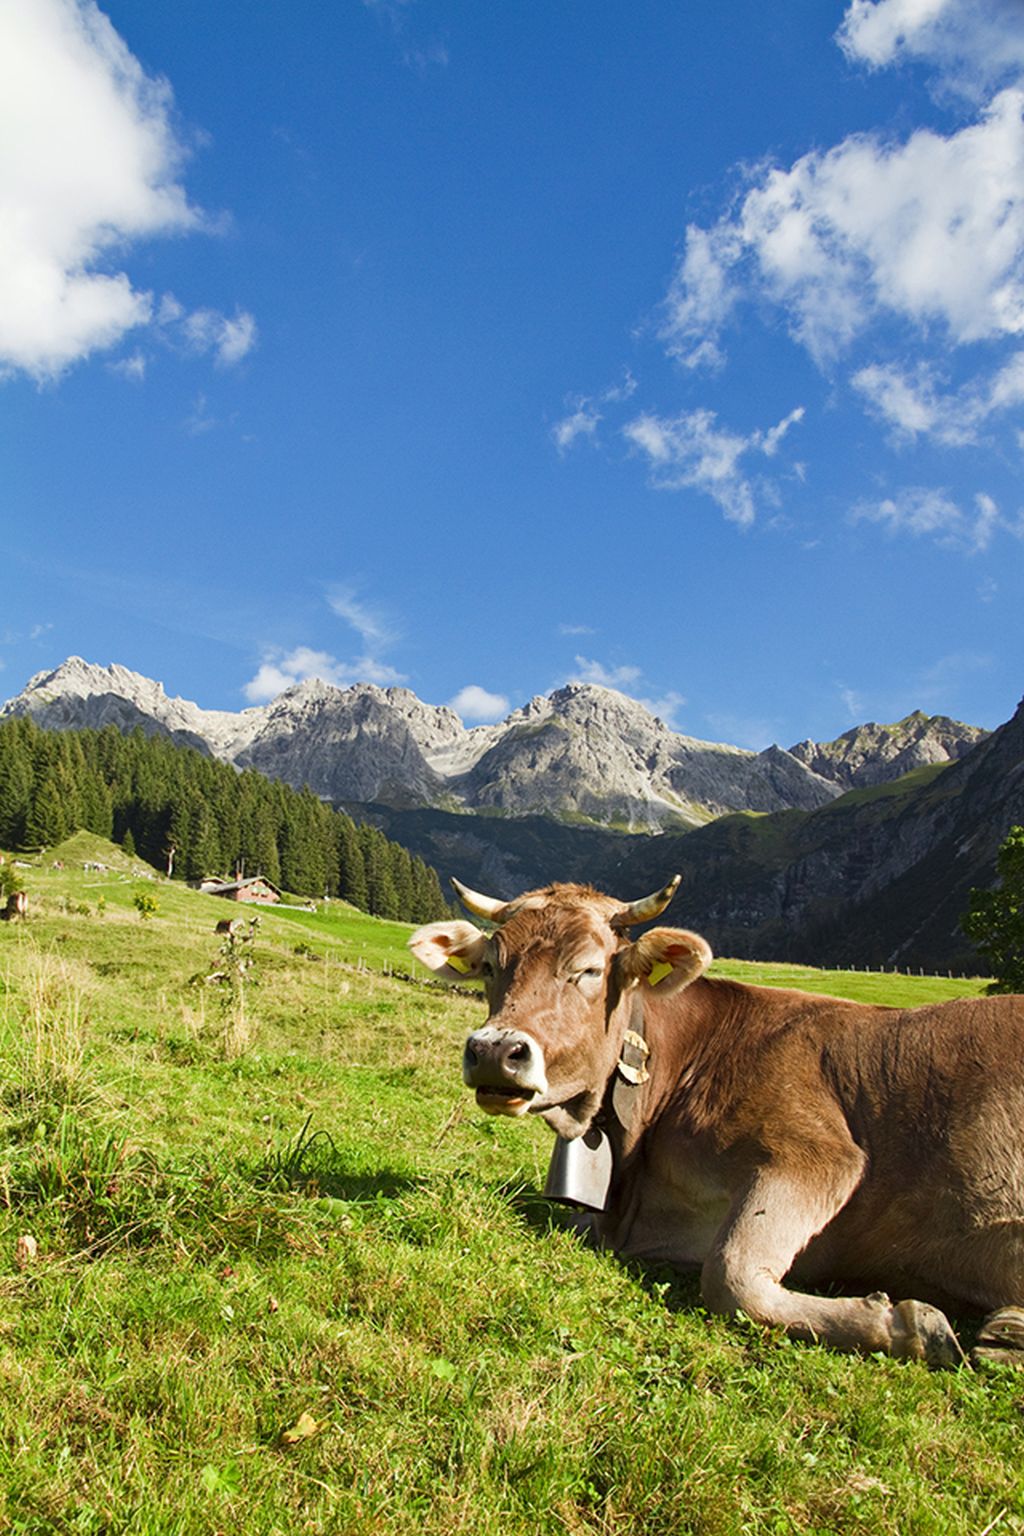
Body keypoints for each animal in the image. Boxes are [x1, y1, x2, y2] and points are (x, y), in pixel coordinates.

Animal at [410, 876, 1024, 1368]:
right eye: (491, 966)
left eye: (587, 969)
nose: (495, 1051)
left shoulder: (819, 1155)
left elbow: (730, 1275)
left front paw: (906, 1325)